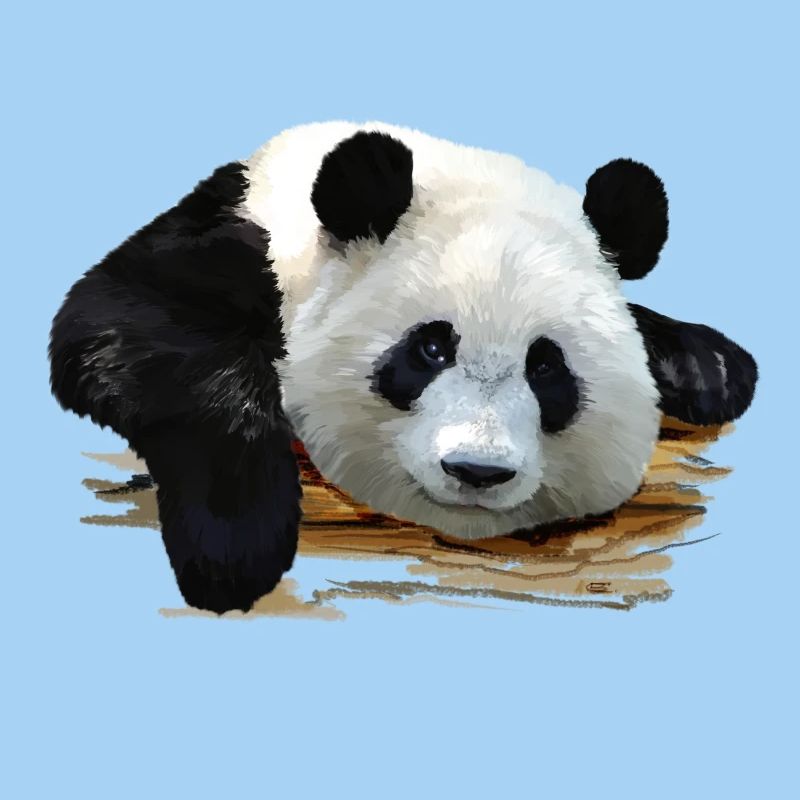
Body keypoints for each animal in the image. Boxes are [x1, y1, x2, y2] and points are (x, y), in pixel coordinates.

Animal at [50, 121, 758, 614]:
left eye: (546, 368)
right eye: (431, 349)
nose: (477, 471)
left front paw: (712, 367)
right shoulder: (229, 241)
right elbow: (122, 329)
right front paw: (232, 548)